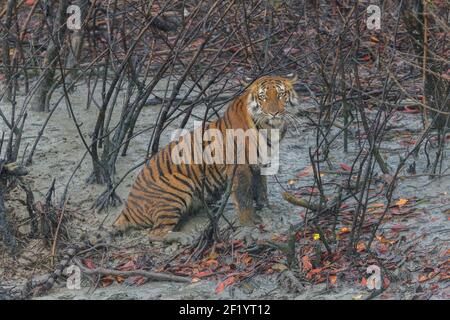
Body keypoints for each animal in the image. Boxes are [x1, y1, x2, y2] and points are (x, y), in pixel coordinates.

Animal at [113, 75, 298, 244]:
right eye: (263, 97)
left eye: (281, 94)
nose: (274, 113)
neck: (270, 128)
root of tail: (127, 208)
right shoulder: (239, 167)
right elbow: (243, 197)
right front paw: (249, 223)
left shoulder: (261, 163)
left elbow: (262, 189)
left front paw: (267, 209)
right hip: (178, 185)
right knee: (155, 233)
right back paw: (185, 237)